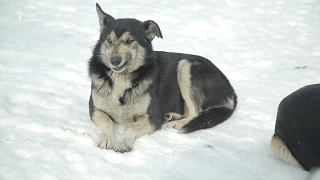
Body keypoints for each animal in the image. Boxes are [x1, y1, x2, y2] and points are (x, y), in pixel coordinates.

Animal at [89, 3, 236, 152]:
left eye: (130, 41)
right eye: (109, 40)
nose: (114, 61)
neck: (121, 79)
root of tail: (231, 89)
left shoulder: (152, 118)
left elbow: (130, 127)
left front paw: (123, 142)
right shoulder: (95, 109)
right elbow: (106, 120)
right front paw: (106, 139)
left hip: (186, 65)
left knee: (196, 112)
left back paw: (178, 123)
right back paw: (170, 117)